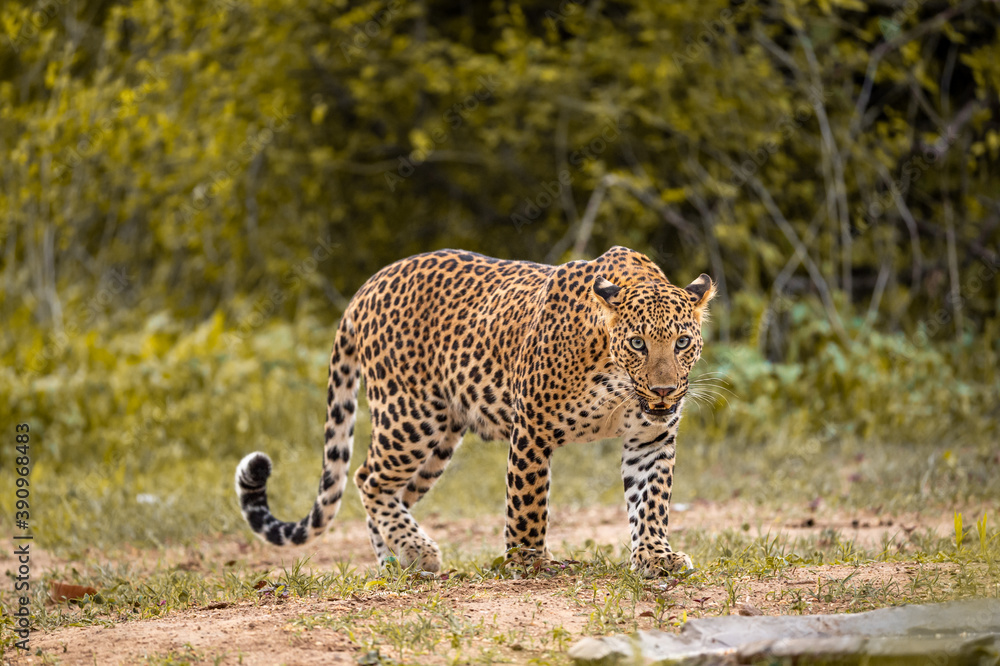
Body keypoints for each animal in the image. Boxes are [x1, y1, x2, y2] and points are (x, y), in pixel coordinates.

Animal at [235, 246, 715, 577]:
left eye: (682, 342)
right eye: (637, 343)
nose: (664, 390)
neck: (617, 382)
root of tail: (367, 287)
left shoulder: (651, 438)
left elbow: (651, 501)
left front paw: (656, 557)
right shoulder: (532, 429)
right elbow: (528, 503)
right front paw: (528, 562)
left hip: (439, 442)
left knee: (390, 492)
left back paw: (397, 560)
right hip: (410, 418)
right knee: (368, 478)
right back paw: (417, 551)